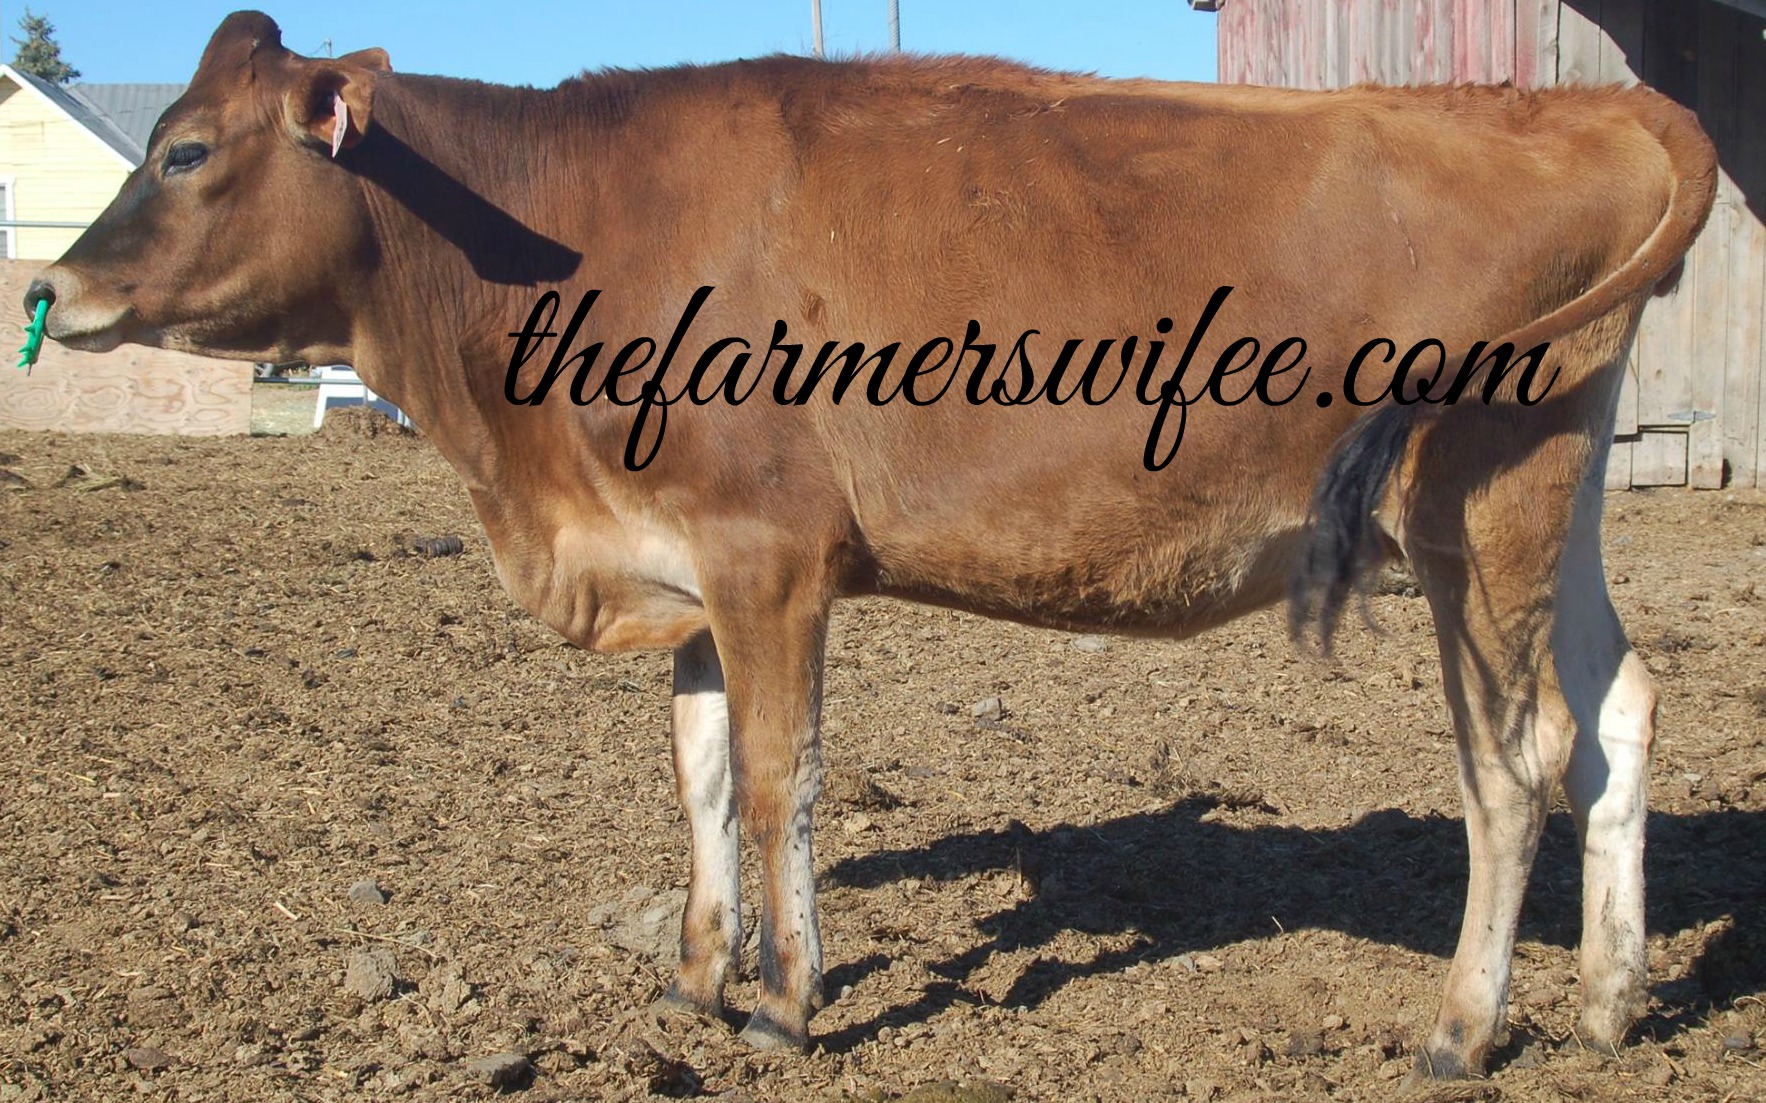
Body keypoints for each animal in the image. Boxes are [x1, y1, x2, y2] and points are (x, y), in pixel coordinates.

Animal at [27, 8, 1709, 1072]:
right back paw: (1610, 1001)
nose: (54, 284)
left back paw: (1462, 1026)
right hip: (1545, 511)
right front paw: (693, 980)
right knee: (1617, 707)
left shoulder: (765, 554)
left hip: (1476, 508)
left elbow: (783, 777)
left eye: (185, 153)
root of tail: (1584, 101)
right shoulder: (688, 564)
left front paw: (786, 1000)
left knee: (1513, 759)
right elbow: (702, 774)